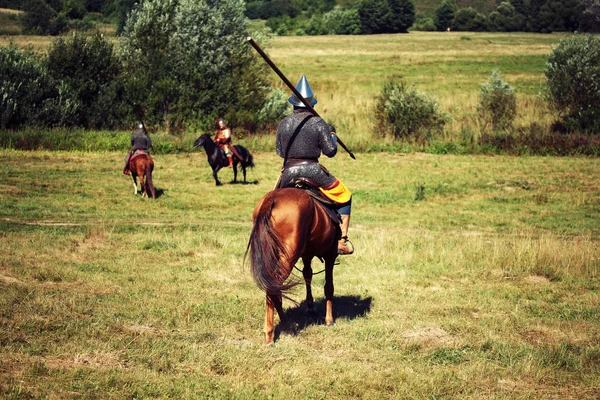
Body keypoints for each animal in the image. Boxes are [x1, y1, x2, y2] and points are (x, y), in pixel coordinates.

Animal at [244, 189, 338, 346]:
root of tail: (271, 199)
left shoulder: (307, 255)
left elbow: (308, 274)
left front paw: (310, 306)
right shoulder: (330, 254)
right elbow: (329, 287)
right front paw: (329, 320)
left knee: (275, 289)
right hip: (288, 257)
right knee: (273, 288)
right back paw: (272, 333)